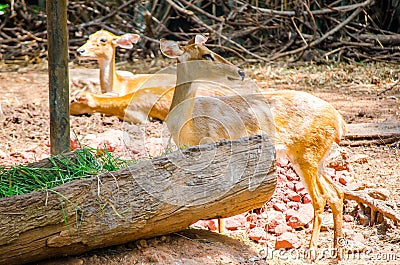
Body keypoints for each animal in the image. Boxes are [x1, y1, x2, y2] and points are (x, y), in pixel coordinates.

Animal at [160, 34, 346, 255]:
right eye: (207, 54)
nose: (240, 72)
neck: (188, 124)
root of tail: (339, 120)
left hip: (308, 153)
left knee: (320, 198)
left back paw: (311, 252)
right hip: (316, 158)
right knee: (336, 194)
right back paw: (337, 252)